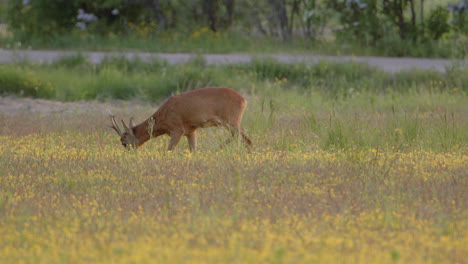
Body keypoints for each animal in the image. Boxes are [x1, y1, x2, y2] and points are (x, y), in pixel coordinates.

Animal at [109, 87, 252, 152]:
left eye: (124, 141)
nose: (129, 151)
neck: (162, 118)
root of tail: (244, 100)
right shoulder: (191, 131)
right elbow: (193, 150)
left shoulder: (177, 130)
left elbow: (169, 150)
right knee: (241, 137)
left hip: (231, 120)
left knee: (247, 139)